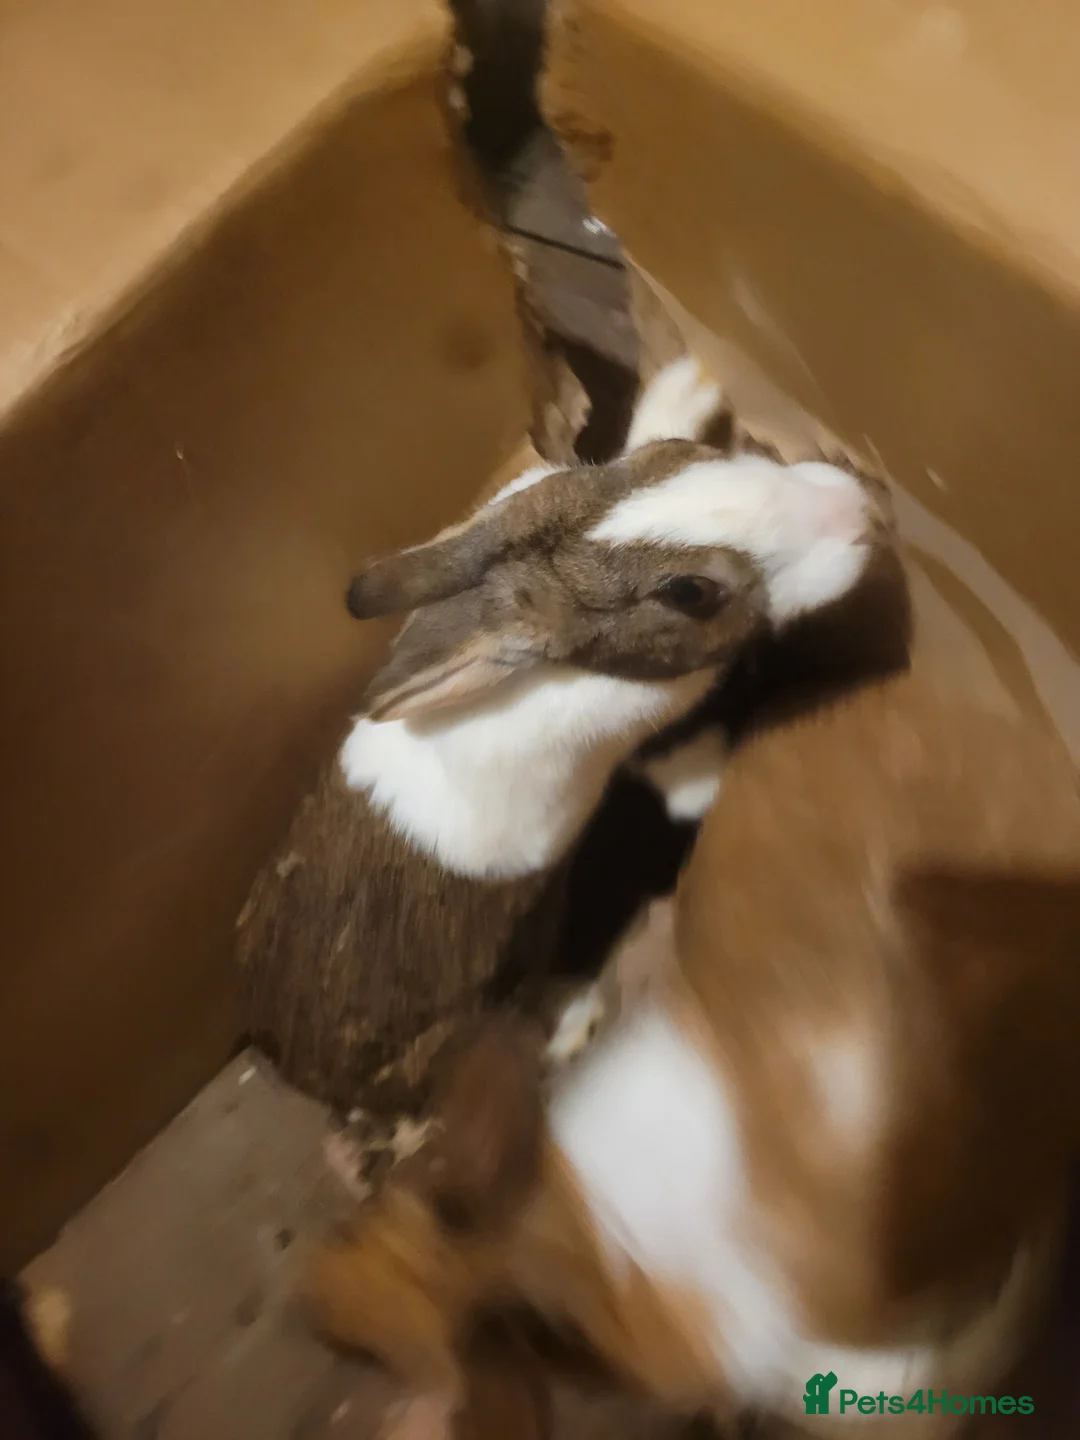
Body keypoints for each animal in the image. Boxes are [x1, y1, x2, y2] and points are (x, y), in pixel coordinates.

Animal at [237, 356, 881, 1148]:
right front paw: (712, 767)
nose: (853, 507)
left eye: (674, 458)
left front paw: (687, 385)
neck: (579, 666)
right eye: (691, 592)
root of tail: (294, 1068)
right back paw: (574, 1019)